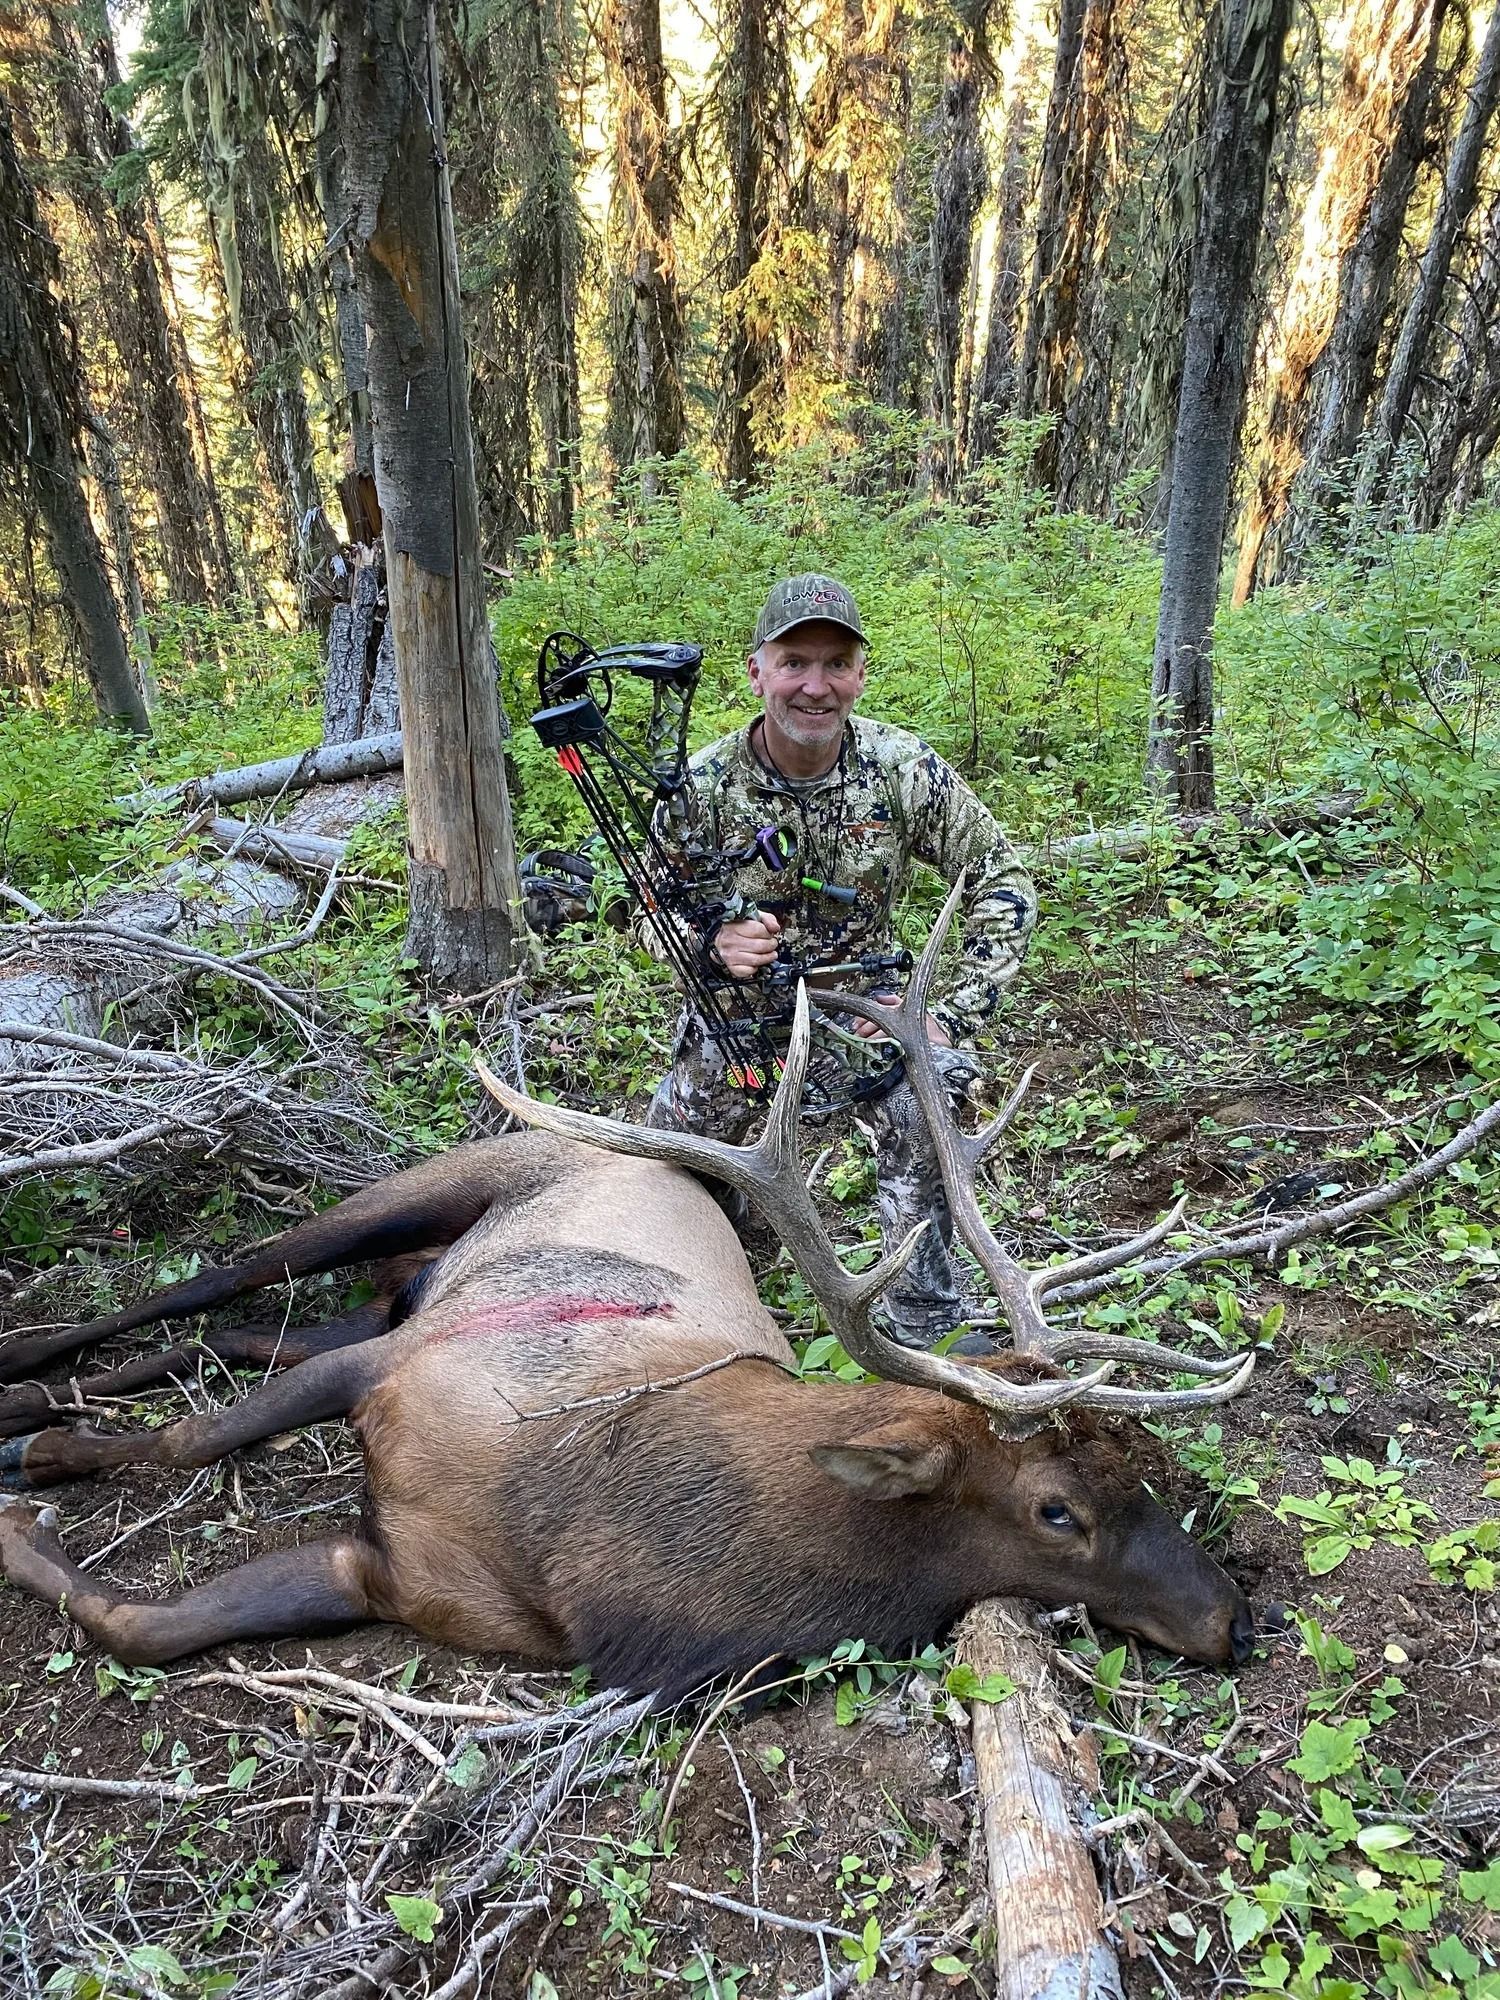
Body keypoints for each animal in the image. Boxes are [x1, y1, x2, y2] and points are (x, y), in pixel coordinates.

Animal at [0, 882, 1258, 1694]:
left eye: (1147, 1464)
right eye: (1058, 1509)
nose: (1233, 1618)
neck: (586, 1539)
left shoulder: (400, 1575)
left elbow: (137, 1622)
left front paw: (35, 1506)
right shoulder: (399, 1371)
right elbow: (184, 1444)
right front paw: (41, 1474)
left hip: (399, 1293)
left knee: (251, 1334)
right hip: (429, 1195)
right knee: (211, 1282)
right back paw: (24, 1382)